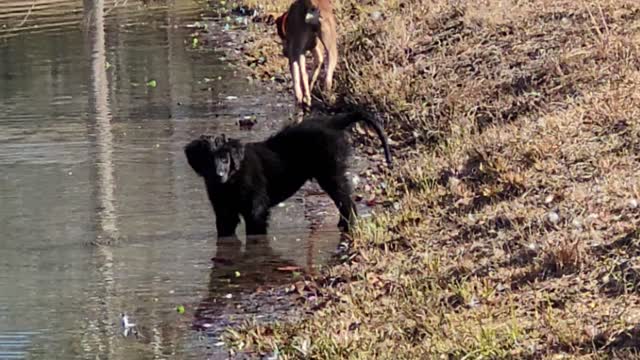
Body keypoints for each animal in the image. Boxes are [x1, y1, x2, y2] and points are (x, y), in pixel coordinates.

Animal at [185, 111, 392, 238]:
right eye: (207, 160)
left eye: (225, 159)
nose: (218, 175)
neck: (232, 181)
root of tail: (331, 123)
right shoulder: (224, 212)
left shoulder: (256, 209)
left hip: (330, 173)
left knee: (346, 200)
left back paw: (348, 225)